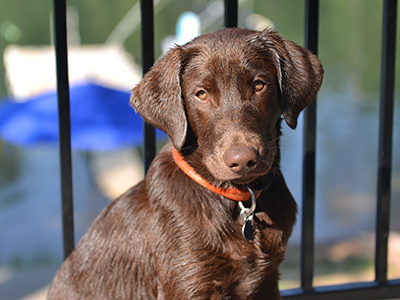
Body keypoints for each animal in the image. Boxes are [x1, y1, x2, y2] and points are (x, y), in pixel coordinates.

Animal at [47, 28, 322, 300]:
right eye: (201, 94)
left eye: (259, 85)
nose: (242, 159)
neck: (236, 202)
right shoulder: (189, 279)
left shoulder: (268, 279)